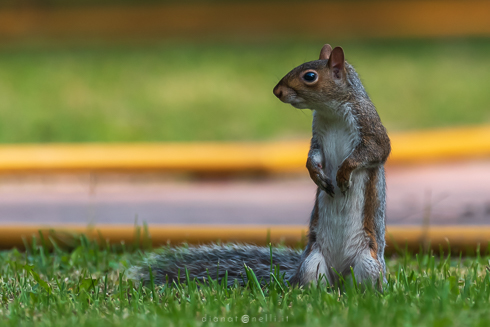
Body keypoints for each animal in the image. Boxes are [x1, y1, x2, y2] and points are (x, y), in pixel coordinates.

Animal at [134, 44, 390, 290]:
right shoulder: (317, 137)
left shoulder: (369, 127)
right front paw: (315, 173)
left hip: (368, 264)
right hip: (313, 263)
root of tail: (338, 276)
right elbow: (313, 156)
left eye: (310, 76)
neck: (332, 111)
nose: (277, 91)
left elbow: (375, 151)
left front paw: (344, 172)